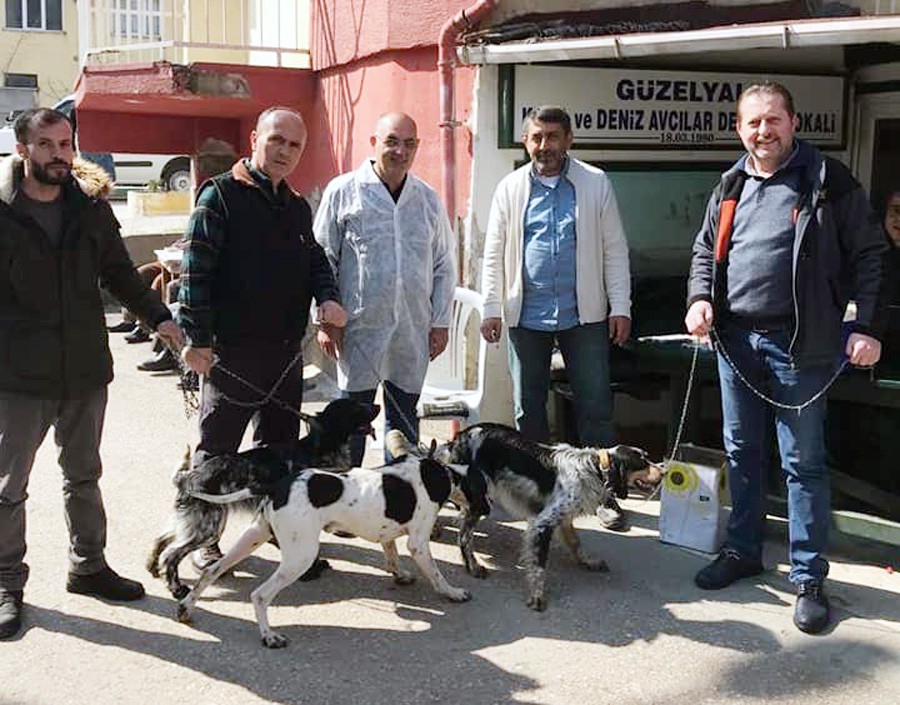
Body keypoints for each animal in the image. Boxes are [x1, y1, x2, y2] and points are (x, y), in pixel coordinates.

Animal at [148, 398, 380, 596]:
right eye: (355, 407)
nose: (377, 405)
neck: (320, 447)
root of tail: (189, 477)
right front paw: (311, 571)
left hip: (194, 520)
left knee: (162, 538)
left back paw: (152, 567)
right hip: (208, 527)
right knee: (172, 554)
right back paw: (176, 588)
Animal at [175, 428, 486, 648]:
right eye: (484, 491)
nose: (486, 509)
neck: (443, 473)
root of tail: (276, 485)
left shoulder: (388, 532)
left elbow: (391, 553)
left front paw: (401, 575)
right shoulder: (419, 544)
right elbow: (436, 575)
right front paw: (454, 593)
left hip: (254, 536)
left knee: (212, 572)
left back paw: (186, 608)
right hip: (300, 556)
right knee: (260, 595)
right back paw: (269, 637)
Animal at [440, 424, 664, 612]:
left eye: (647, 457)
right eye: (642, 462)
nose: (663, 471)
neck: (593, 469)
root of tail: (460, 436)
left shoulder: (563, 518)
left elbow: (575, 543)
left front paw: (587, 561)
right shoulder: (542, 523)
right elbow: (539, 566)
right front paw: (537, 597)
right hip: (477, 499)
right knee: (464, 536)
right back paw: (472, 567)